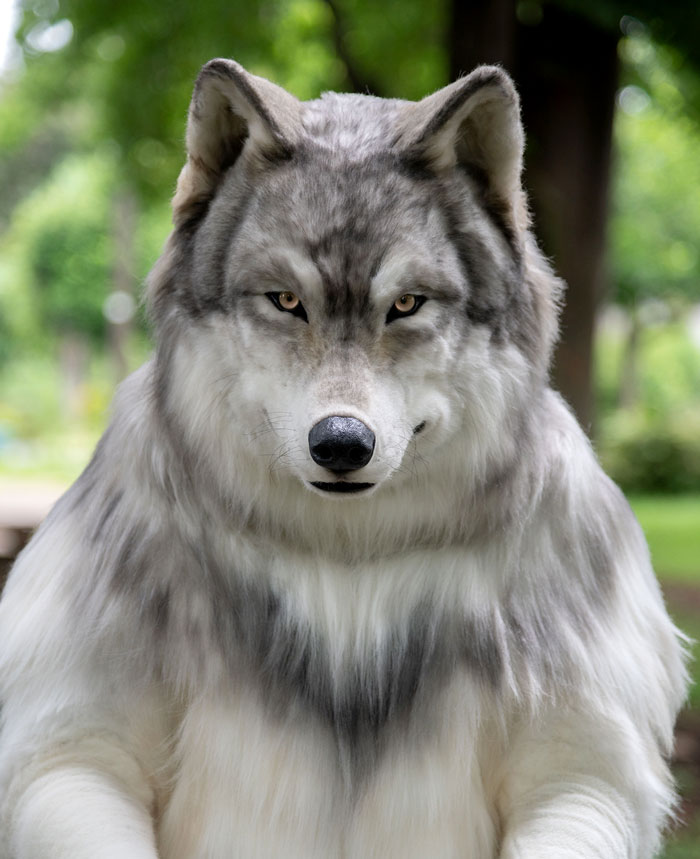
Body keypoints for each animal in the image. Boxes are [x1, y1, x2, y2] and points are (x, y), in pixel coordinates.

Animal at [0, 59, 688, 858]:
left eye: (407, 304)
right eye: (286, 300)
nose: (340, 443)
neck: (347, 564)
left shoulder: (582, 769)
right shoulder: (71, 753)